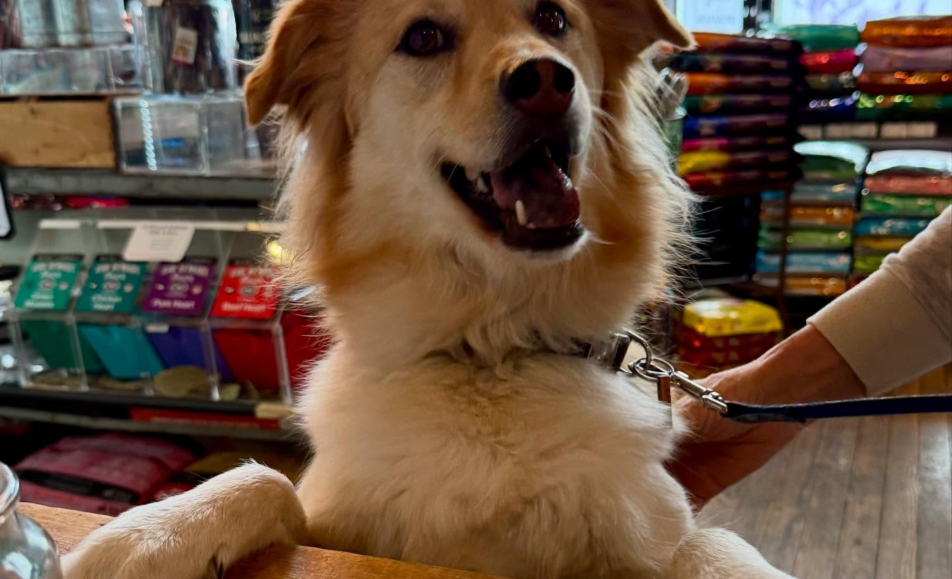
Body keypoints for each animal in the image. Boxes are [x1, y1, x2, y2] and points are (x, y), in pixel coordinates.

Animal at [62, 1, 795, 577]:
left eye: (554, 18)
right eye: (422, 38)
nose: (547, 81)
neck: (491, 348)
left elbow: (709, 543)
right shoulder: (336, 518)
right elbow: (266, 478)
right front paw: (145, 537)